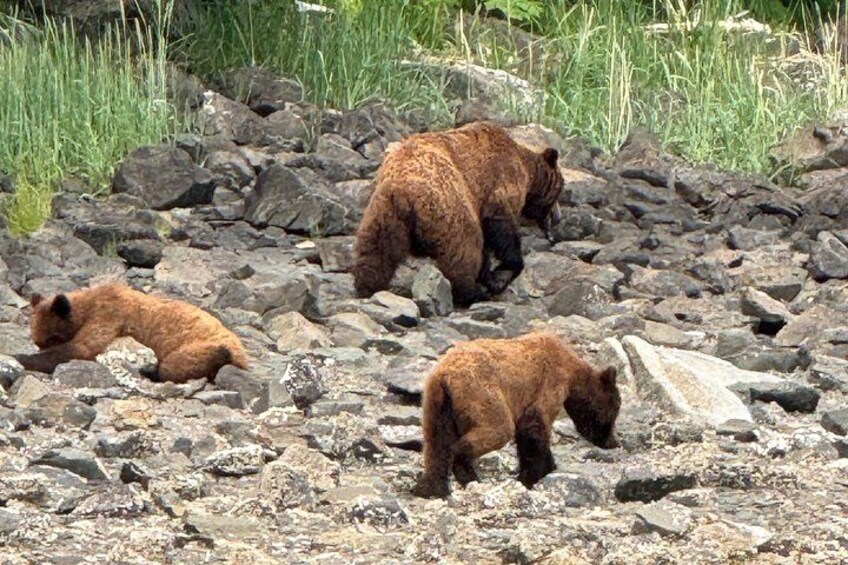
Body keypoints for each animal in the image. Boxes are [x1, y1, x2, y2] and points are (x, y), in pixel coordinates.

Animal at [14, 283, 249, 383]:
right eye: (38, 341)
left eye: (51, 338)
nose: (41, 346)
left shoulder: (109, 315)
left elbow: (84, 347)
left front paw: (21, 357)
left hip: (198, 345)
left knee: (177, 365)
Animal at [352, 121, 564, 307]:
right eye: (559, 191)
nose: (558, 217)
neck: (527, 170)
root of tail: (404, 192)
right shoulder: (501, 179)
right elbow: (501, 224)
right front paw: (501, 274)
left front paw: (491, 276)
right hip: (450, 207)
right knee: (465, 247)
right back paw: (472, 292)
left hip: (383, 215)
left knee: (376, 254)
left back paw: (367, 287)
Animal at [410, 331, 620, 498]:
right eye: (616, 408)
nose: (613, 442)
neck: (573, 373)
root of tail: (444, 375)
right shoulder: (551, 381)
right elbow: (535, 426)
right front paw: (535, 474)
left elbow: (527, 432)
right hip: (483, 393)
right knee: (497, 429)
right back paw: (468, 475)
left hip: (436, 404)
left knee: (436, 444)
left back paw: (430, 488)